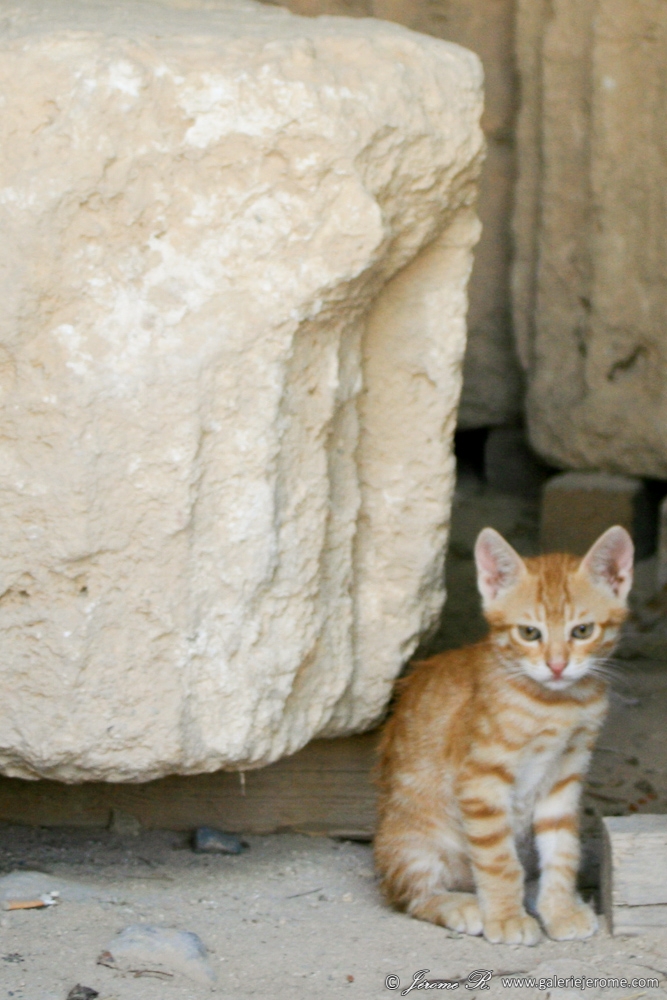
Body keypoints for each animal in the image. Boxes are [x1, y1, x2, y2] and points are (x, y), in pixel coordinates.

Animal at [374, 524, 633, 945]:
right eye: (529, 633)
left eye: (582, 631)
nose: (557, 666)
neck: (557, 703)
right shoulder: (481, 780)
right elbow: (498, 860)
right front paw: (507, 917)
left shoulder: (566, 775)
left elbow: (563, 848)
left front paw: (558, 909)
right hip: (412, 837)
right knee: (411, 893)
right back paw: (461, 904)